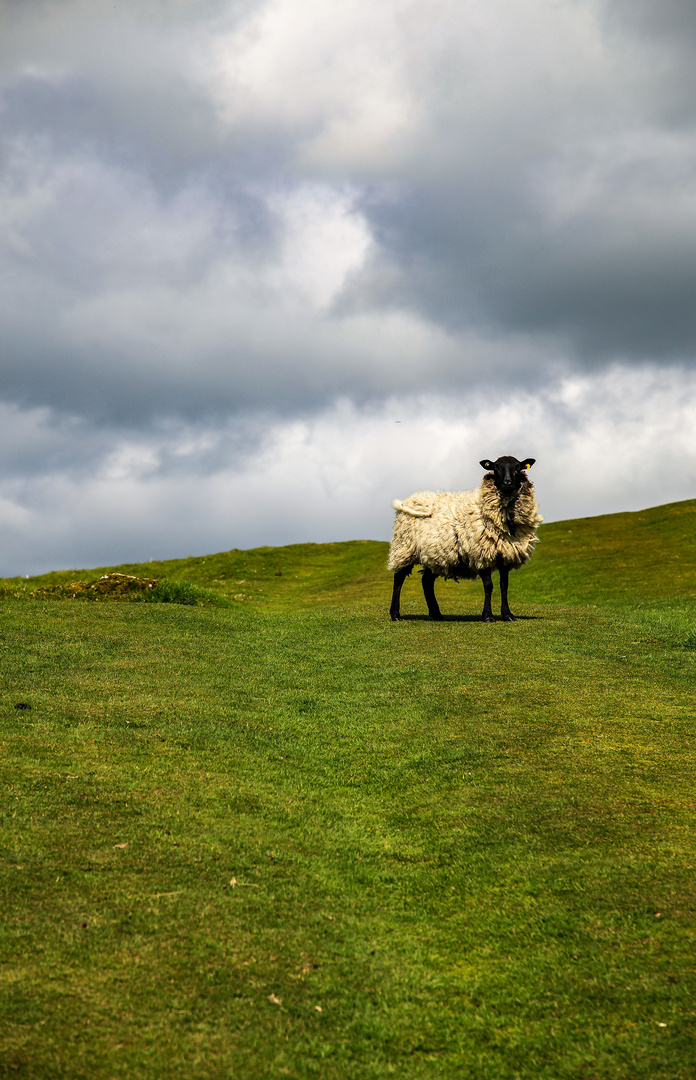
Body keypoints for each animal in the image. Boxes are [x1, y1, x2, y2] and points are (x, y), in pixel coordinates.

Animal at [386, 457, 544, 626]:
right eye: (496, 467)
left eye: (518, 468)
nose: (507, 483)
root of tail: (407, 502)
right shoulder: (481, 553)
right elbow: (489, 586)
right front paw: (488, 616)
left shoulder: (505, 555)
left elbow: (504, 586)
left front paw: (508, 615)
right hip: (404, 547)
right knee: (399, 578)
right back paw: (395, 614)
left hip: (435, 554)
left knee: (427, 581)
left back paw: (436, 614)